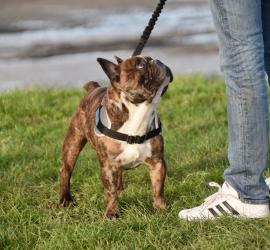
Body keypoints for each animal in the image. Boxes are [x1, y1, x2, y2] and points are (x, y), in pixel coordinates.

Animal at [58, 55, 173, 218]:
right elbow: (110, 192)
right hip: (73, 143)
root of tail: (93, 88)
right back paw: (65, 199)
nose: (156, 60)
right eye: (140, 65)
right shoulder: (108, 165)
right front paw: (112, 212)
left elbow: (158, 187)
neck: (140, 112)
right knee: (65, 170)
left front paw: (160, 208)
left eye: (150, 59)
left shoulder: (157, 162)